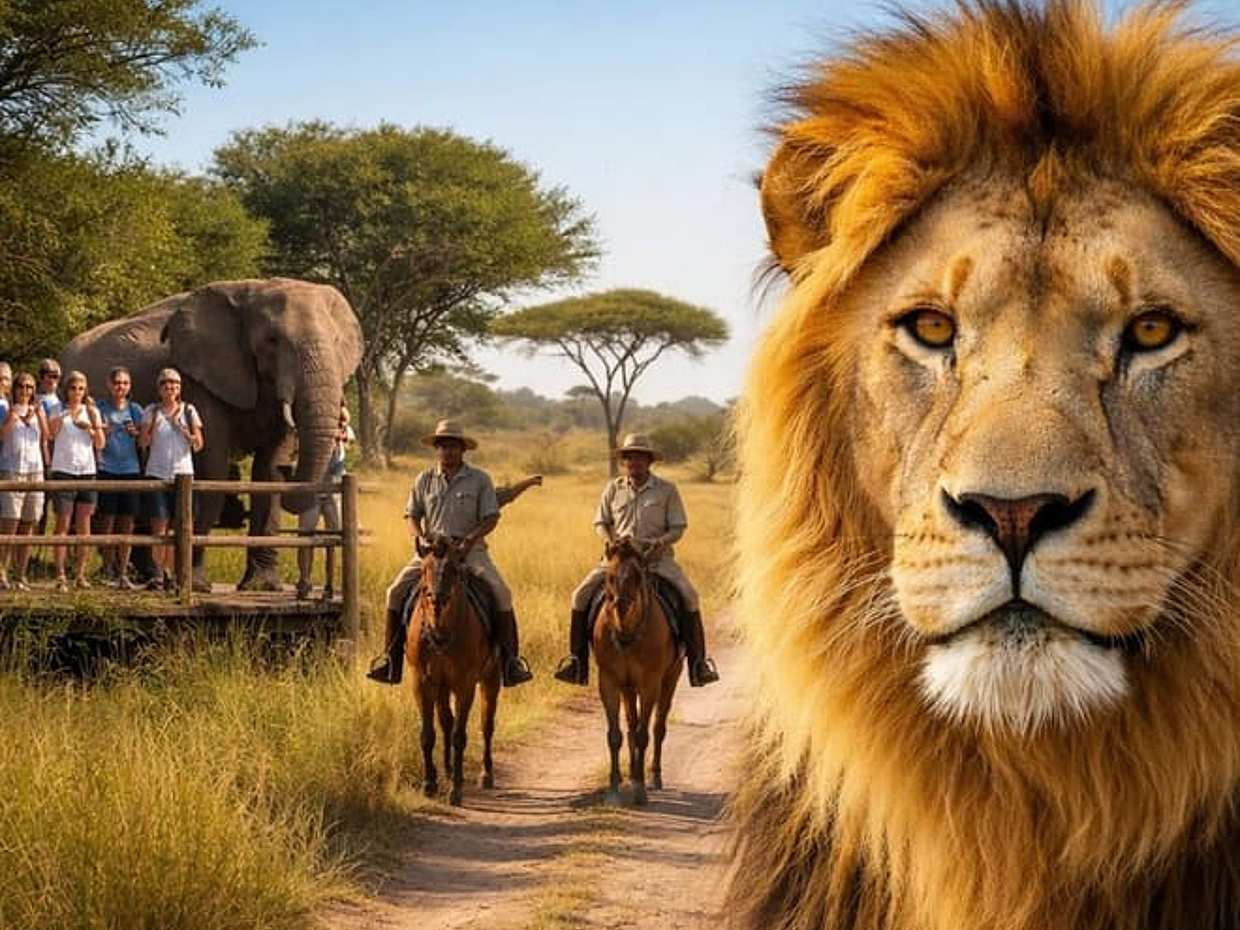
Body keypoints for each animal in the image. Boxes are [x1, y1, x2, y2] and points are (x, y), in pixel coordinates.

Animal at [60, 277, 362, 591]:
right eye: (271, 341)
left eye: (337, 342)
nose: (289, 469)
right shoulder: (200, 379)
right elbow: (212, 465)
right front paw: (196, 585)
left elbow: (267, 472)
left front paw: (261, 586)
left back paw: (144, 575)